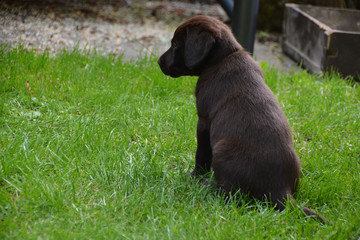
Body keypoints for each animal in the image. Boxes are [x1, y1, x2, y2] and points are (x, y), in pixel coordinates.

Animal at [158, 15, 330, 223]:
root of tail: (281, 191)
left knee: (229, 193)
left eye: (175, 44)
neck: (223, 57)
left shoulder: (204, 121)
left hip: (223, 148)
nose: (159, 62)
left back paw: (206, 183)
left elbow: (202, 154)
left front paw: (195, 175)